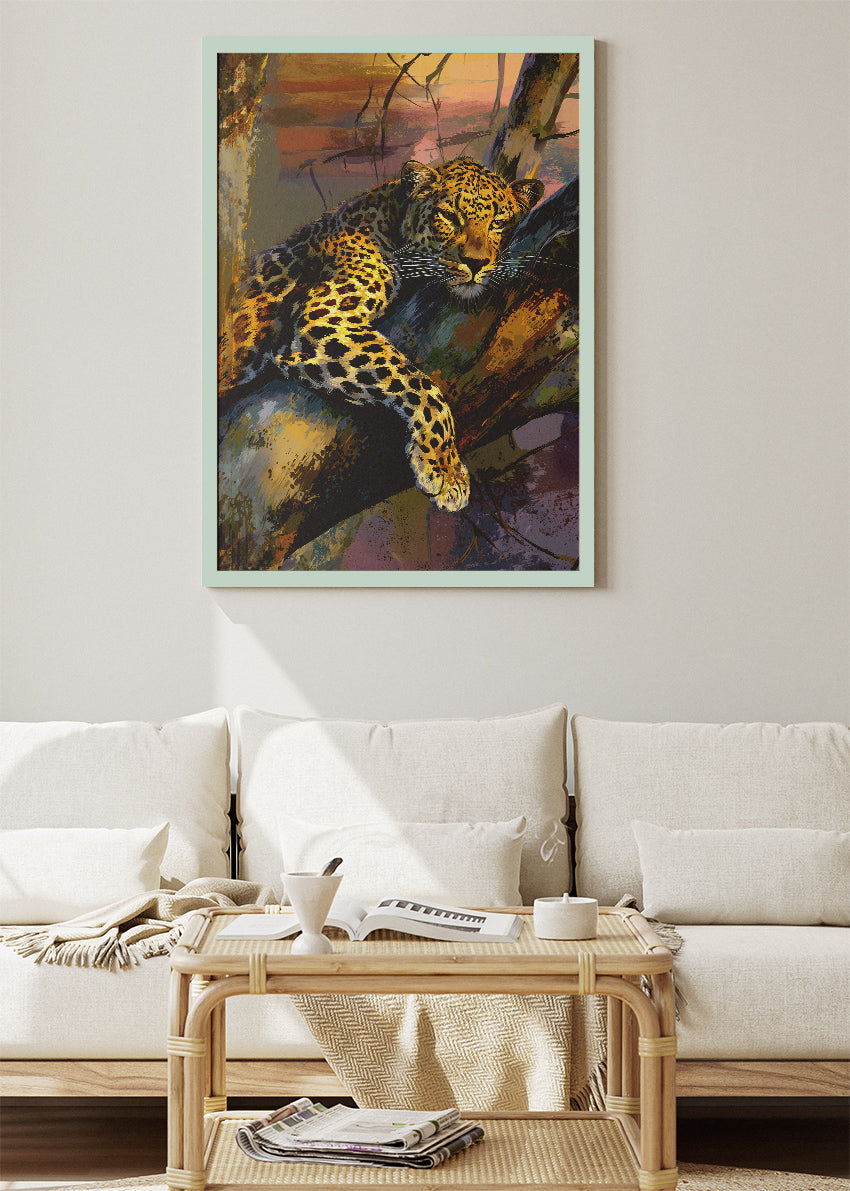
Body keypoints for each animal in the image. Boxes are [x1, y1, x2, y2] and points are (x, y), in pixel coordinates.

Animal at [219, 156, 545, 512]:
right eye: (449, 217)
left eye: (499, 222)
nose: (476, 263)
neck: (389, 217)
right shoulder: (326, 316)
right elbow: (418, 382)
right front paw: (445, 470)